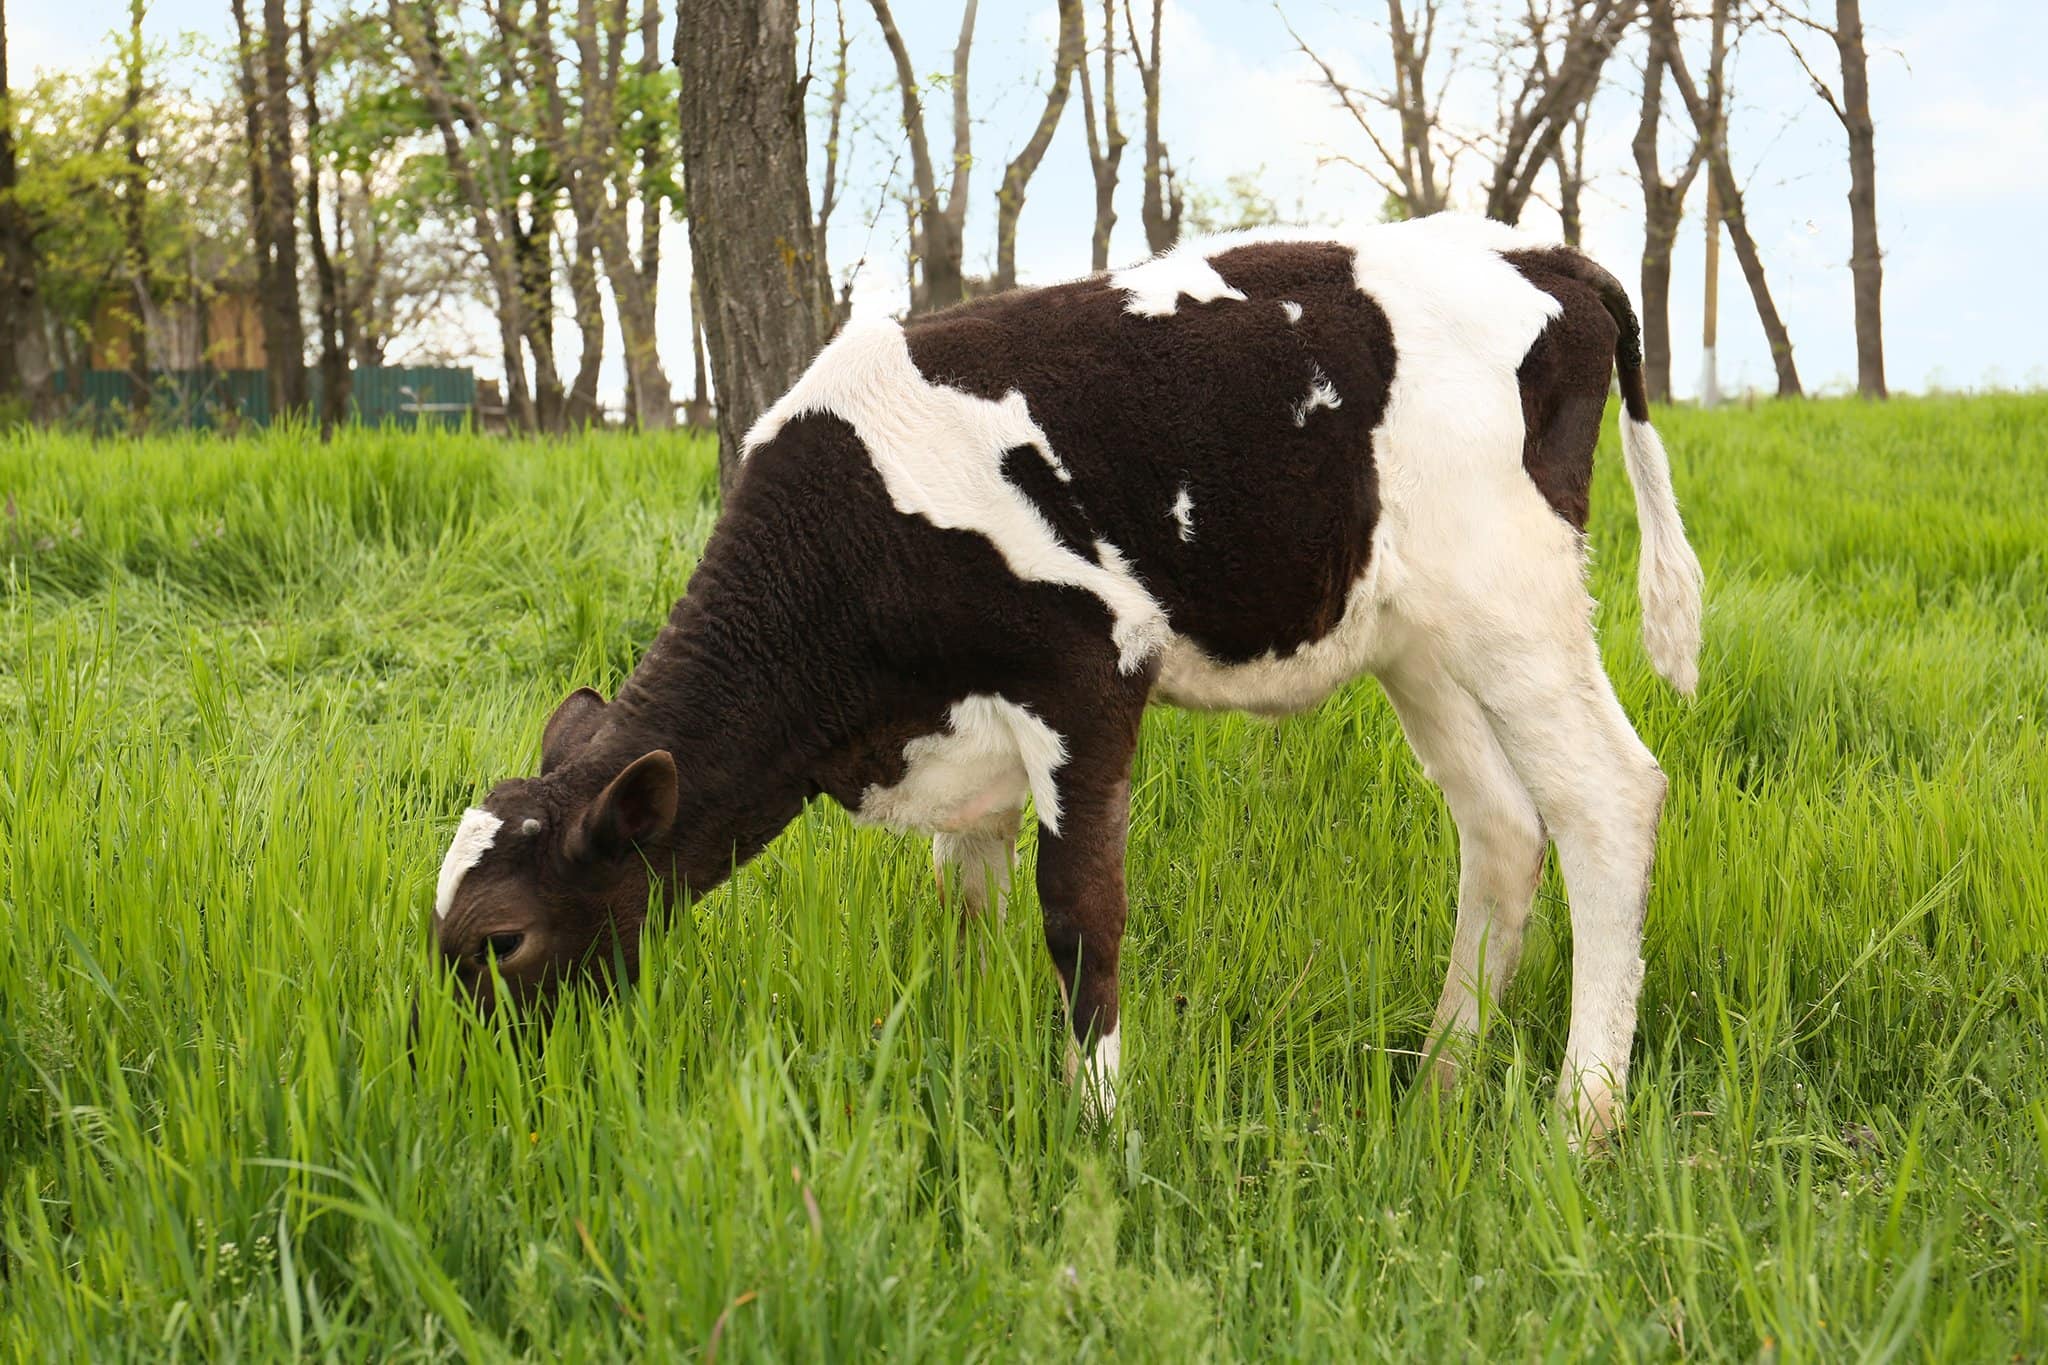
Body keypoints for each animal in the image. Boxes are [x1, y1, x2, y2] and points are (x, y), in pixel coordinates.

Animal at [430, 214, 1704, 1140]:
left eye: (500, 942)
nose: (474, 1088)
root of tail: (1538, 252)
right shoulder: (962, 729)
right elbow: (962, 909)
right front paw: (950, 1056)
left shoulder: (1087, 668)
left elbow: (1079, 911)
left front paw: (1097, 1120)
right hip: (1415, 634)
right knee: (1500, 823)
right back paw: (1439, 1075)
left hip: (1513, 599)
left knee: (1606, 796)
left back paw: (1581, 1117)